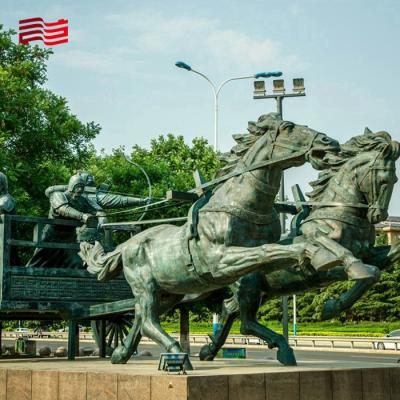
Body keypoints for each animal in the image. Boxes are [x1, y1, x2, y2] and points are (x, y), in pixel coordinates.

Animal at [79, 112, 340, 366]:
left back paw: (121, 354)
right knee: (147, 320)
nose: (329, 142)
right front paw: (318, 253)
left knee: (140, 318)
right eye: (288, 127)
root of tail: (124, 247)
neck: (242, 204)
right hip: (145, 287)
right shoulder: (220, 260)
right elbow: (266, 251)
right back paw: (176, 355)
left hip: (169, 292)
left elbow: (271, 256)